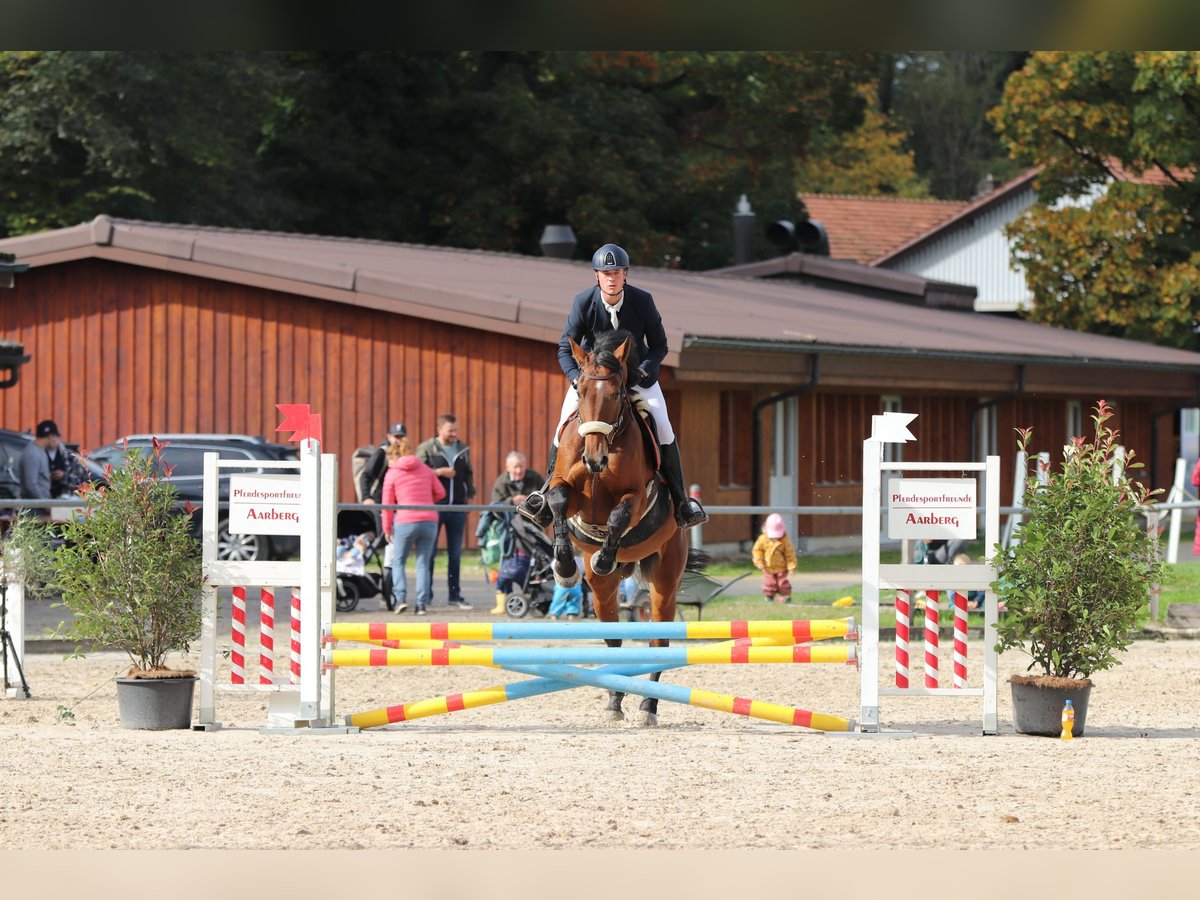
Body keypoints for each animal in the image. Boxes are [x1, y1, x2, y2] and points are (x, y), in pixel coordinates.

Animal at [544, 328, 700, 724]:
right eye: (580, 390)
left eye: (615, 395)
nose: (594, 459)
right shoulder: (567, 489)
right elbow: (557, 502)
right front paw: (564, 566)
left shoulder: (636, 497)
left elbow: (618, 515)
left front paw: (603, 557)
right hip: (603, 593)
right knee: (613, 637)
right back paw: (615, 701)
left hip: (666, 577)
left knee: (659, 639)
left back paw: (649, 706)